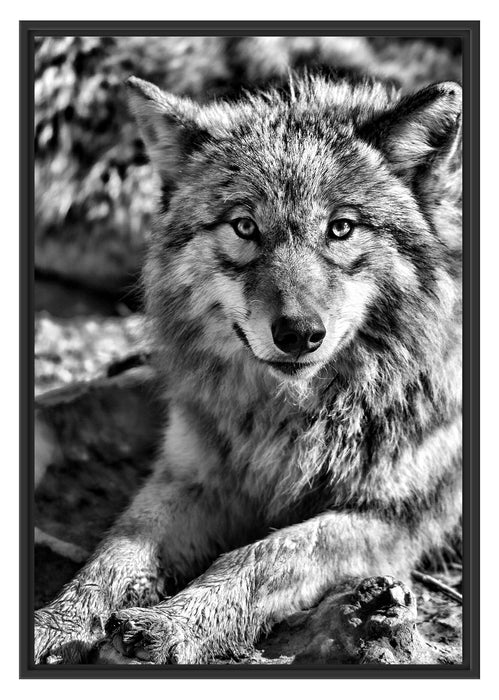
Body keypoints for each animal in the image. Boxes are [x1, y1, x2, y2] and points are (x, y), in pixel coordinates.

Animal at [34, 74, 462, 664]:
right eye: (244, 226)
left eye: (341, 228)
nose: (299, 334)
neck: (295, 417)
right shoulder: (193, 470)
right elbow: (116, 551)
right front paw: (60, 622)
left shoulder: (390, 519)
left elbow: (263, 555)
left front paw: (172, 623)